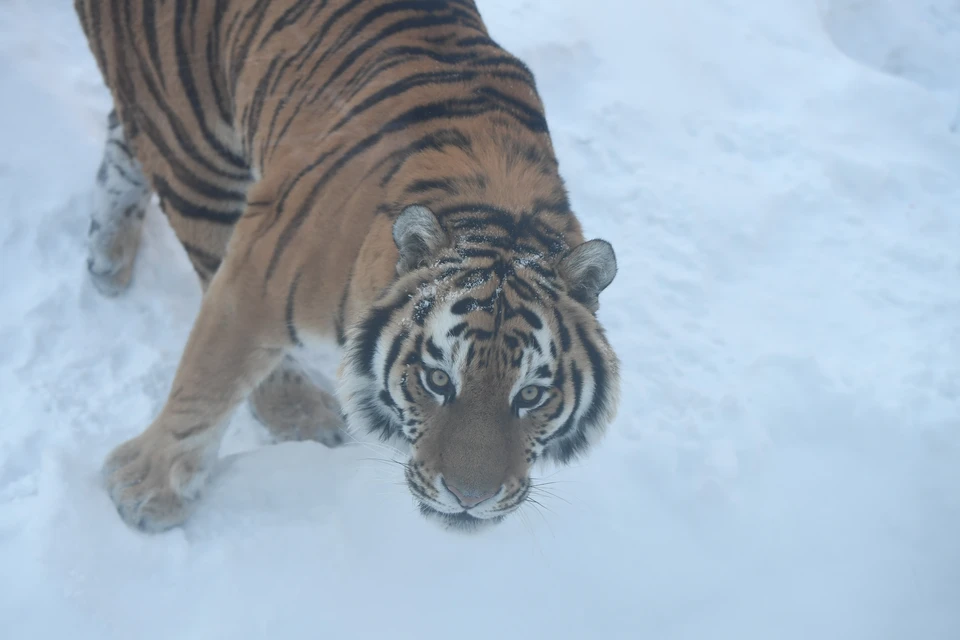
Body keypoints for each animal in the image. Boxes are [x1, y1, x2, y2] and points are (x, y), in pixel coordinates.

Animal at [79, 0, 628, 532]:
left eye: (532, 394)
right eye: (438, 380)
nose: (470, 498)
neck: (499, 214)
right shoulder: (252, 281)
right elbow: (207, 381)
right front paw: (147, 490)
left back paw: (106, 255)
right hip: (194, 159)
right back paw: (300, 412)